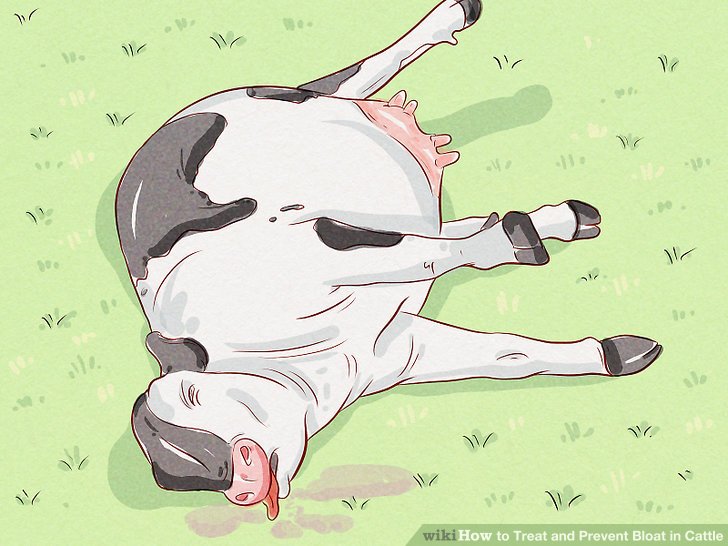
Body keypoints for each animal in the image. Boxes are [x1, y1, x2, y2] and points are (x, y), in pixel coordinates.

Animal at [117, 0, 662, 520]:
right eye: (178, 478)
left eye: (192, 395)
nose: (239, 485)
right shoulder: (403, 351)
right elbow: (513, 356)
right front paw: (625, 353)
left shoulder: (313, 251)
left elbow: (426, 258)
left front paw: (522, 239)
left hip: (287, 109)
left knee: (363, 72)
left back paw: (460, 18)